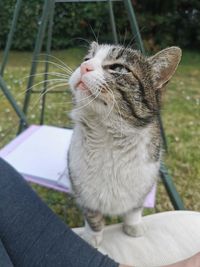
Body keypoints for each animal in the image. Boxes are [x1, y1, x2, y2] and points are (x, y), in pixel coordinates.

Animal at [67, 42, 181, 249]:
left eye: (118, 68)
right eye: (87, 59)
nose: (84, 66)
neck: (108, 138)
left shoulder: (144, 183)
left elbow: (134, 208)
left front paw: (133, 225)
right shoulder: (83, 190)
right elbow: (92, 216)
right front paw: (92, 236)